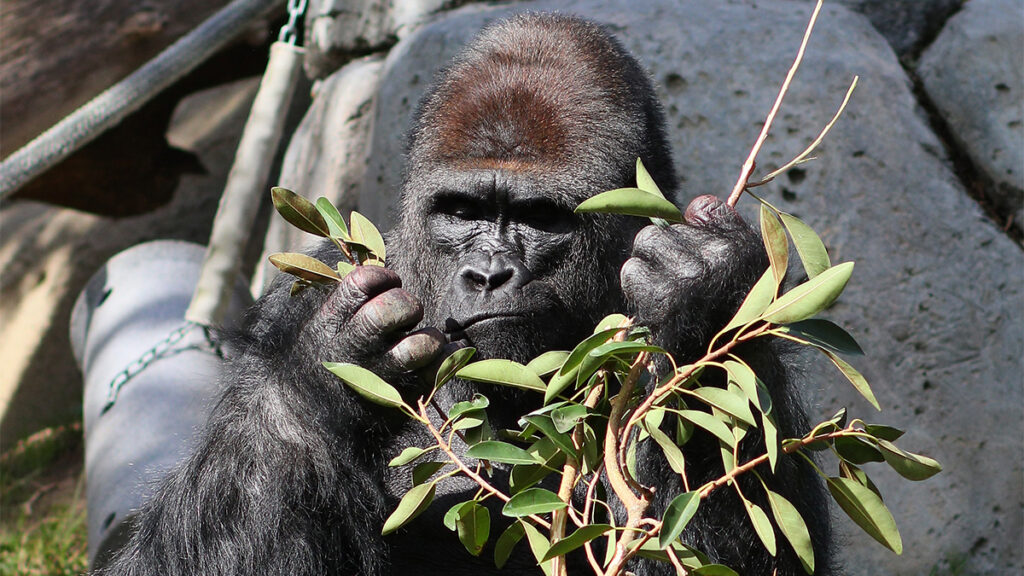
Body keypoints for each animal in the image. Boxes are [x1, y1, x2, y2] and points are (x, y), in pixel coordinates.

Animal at [97, 10, 831, 573]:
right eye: (461, 210)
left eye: (539, 218)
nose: (488, 274)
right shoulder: (296, 297)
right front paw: (324, 366)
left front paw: (696, 300)